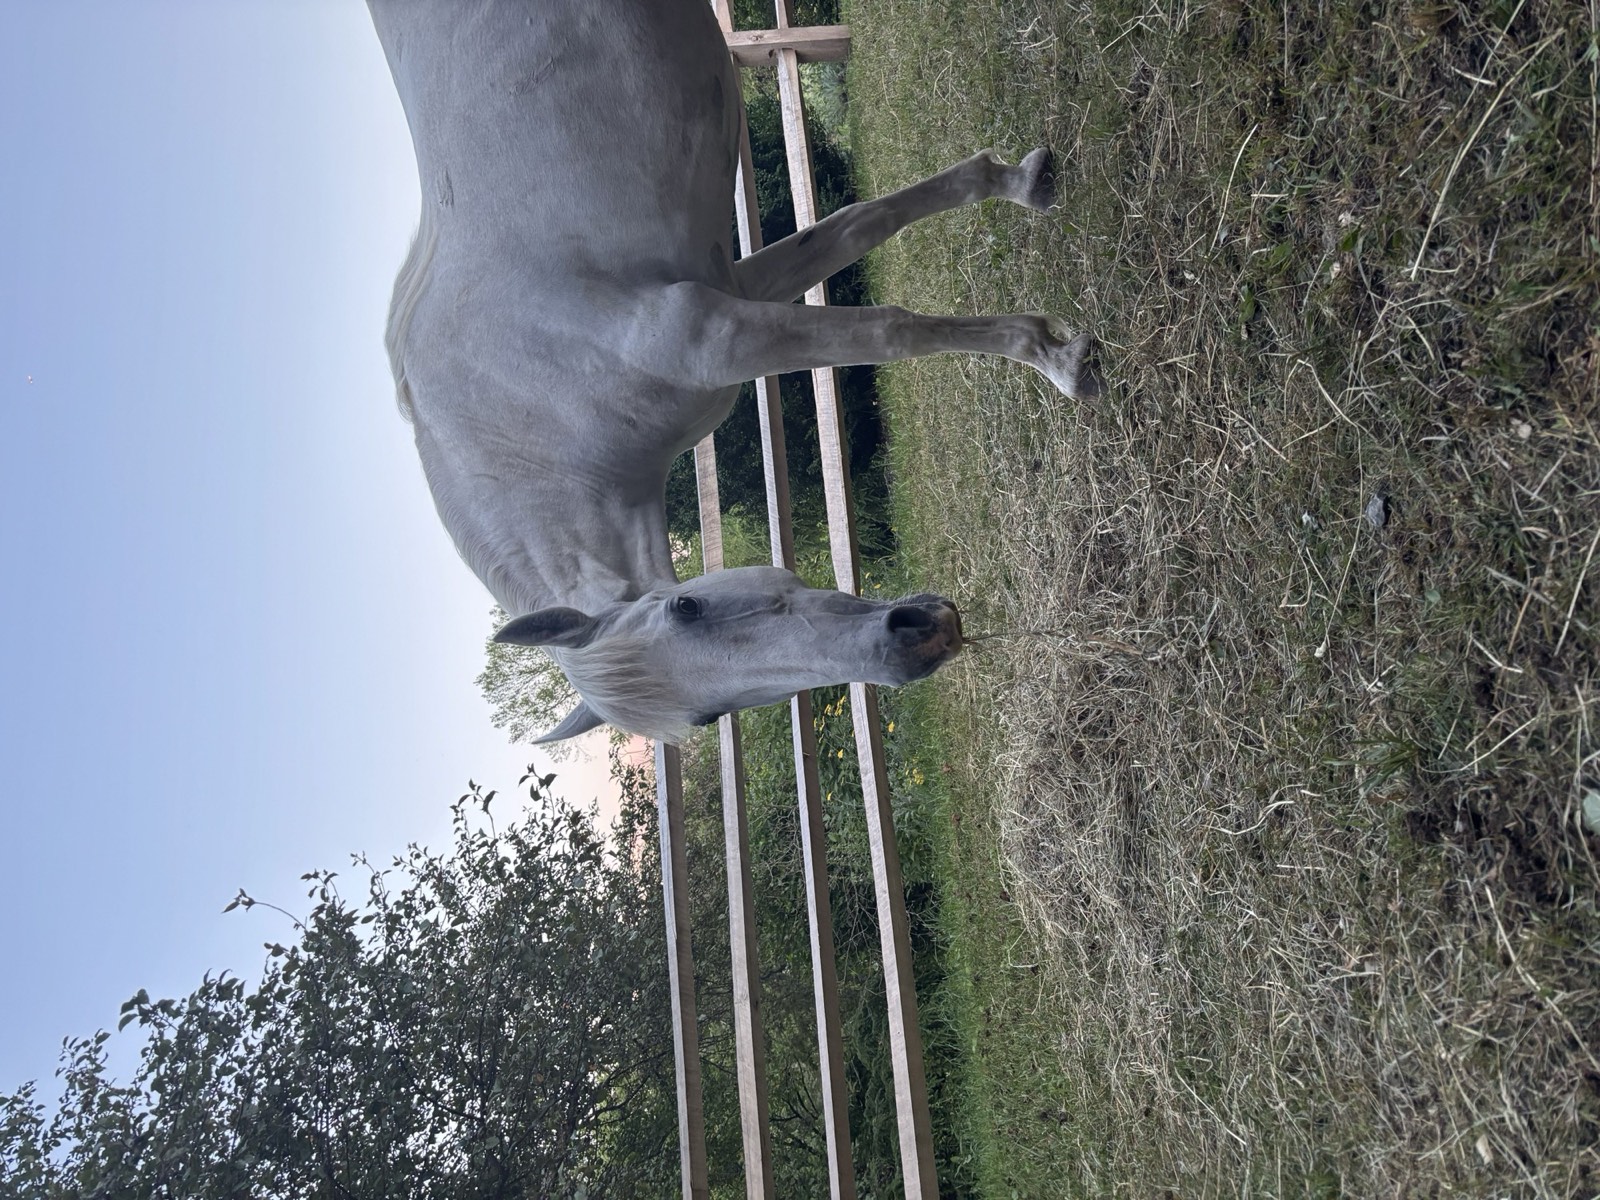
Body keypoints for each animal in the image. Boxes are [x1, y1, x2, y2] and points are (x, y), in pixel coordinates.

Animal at [367, 0, 1100, 745]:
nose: (916, 642)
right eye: (708, 714)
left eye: (686, 608)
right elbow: (862, 224)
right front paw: (1017, 186)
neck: (529, 416)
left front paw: (1057, 358)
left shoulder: (719, 332)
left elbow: (887, 322)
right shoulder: (740, 287)